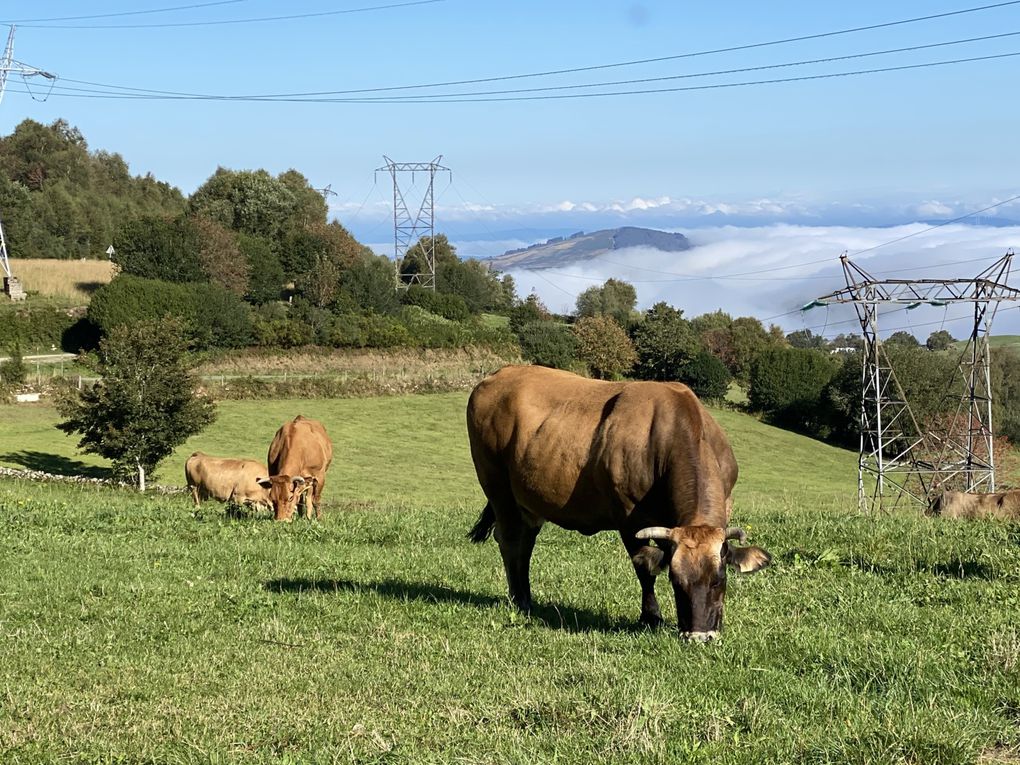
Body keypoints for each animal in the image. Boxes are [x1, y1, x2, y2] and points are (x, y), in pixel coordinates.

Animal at [467, 365, 767, 640]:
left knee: (525, 543)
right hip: (496, 484)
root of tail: (499, 373)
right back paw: (518, 599)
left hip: (529, 500)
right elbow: (644, 567)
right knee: (509, 540)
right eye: (675, 581)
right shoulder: (629, 517)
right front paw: (651, 617)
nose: (699, 636)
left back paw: (526, 596)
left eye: (720, 580)